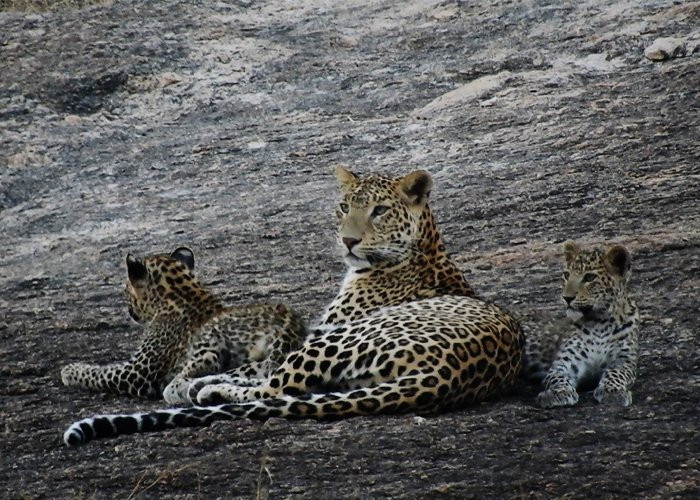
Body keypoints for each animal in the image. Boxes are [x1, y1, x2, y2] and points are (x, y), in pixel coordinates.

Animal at [61, 247, 308, 406]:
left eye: (125, 290)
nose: (129, 310)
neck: (179, 292)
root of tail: (290, 326)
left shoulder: (136, 373)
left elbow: (99, 372)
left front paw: (69, 370)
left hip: (215, 342)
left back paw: (182, 389)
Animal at [532, 240, 640, 408]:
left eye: (589, 277)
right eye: (566, 275)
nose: (566, 298)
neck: (600, 322)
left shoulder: (624, 360)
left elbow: (615, 373)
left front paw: (613, 392)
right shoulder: (564, 363)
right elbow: (557, 377)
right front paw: (558, 393)